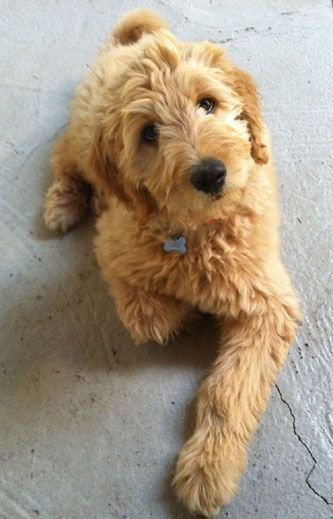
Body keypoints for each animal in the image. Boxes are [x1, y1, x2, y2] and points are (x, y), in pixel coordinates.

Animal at [42, 9, 300, 519]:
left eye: (208, 103)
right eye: (148, 133)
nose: (211, 173)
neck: (196, 231)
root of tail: (133, 41)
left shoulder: (268, 306)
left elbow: (229, 390)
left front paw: (209, 468)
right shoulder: (113, 244)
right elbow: (150, 316)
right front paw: (182, 311)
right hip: (82, 136)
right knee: (65, 157)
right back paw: (62, 203)